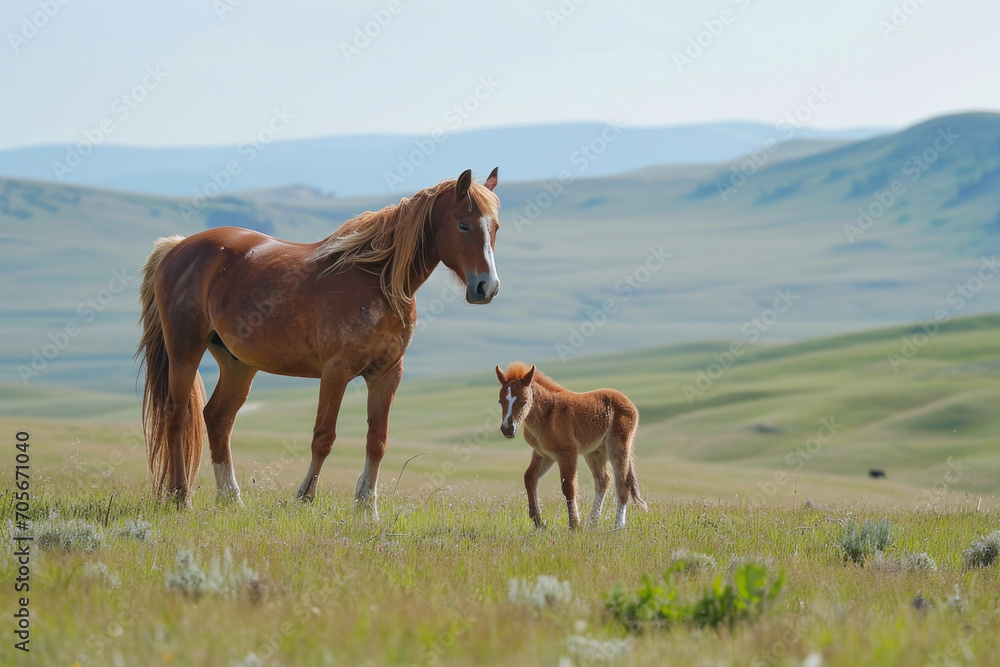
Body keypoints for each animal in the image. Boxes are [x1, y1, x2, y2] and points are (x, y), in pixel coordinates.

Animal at [136, 168, 501, 513]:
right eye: (464, 225)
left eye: (495, 227)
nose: (487, 287)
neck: (378, 280)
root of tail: (178, 247)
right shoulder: (336, 370)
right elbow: (323, 437)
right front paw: (304, 499)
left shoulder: (387, 373)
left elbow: (377, 440)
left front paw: (367, 508)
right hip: (185, 349)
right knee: (177, 415)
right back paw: (181, 498)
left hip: (237, 364)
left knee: (217, 419)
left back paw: (231, 499)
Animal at [494, 362, 647, 529]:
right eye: (501, 402)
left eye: (524, 401)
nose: (507, 429)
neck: (547, 415)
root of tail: (629, 402)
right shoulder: (544, 454)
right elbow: (529, 477)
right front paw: (539, 523)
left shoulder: (568, 453)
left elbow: (568, 486)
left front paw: (574, 524)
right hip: (595, 452)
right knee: (603, 480)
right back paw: (591, 523)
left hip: (617, 445)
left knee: (623, 483)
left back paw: (618, 526)